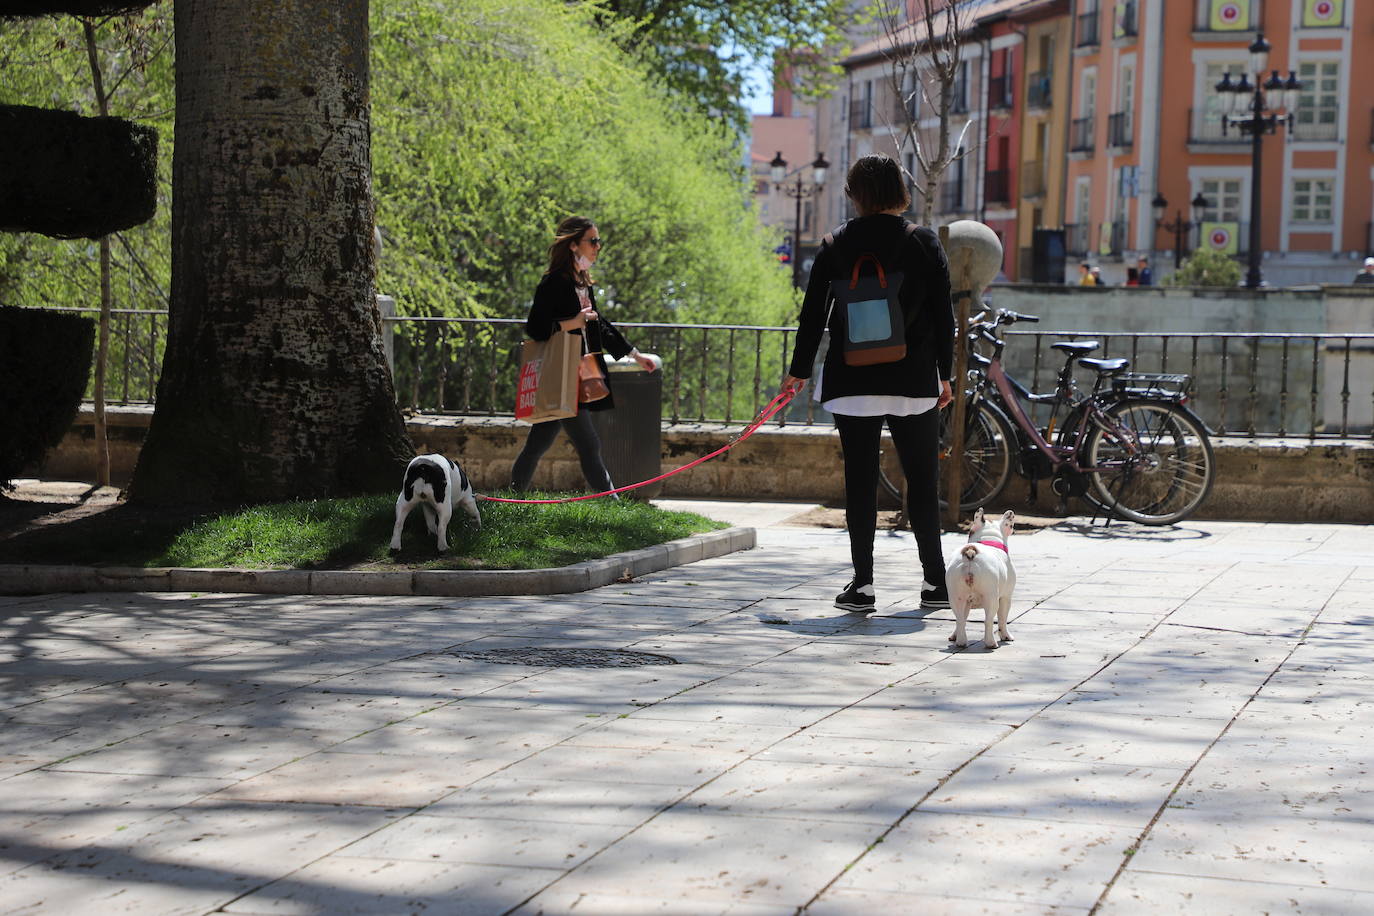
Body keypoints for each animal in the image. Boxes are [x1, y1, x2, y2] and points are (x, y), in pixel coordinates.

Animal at [945, 508, 1022, 650]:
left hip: (956, 596)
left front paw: (954, 635)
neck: (988, 538)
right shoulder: (1006, 597)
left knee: (959, 618)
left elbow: (962, 618)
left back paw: (961, 641)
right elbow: (1003, 619)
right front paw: (1006, 636)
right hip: (991, 598)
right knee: (989, 620)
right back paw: (991, 643)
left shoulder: (966, 602)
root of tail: (971, 551)